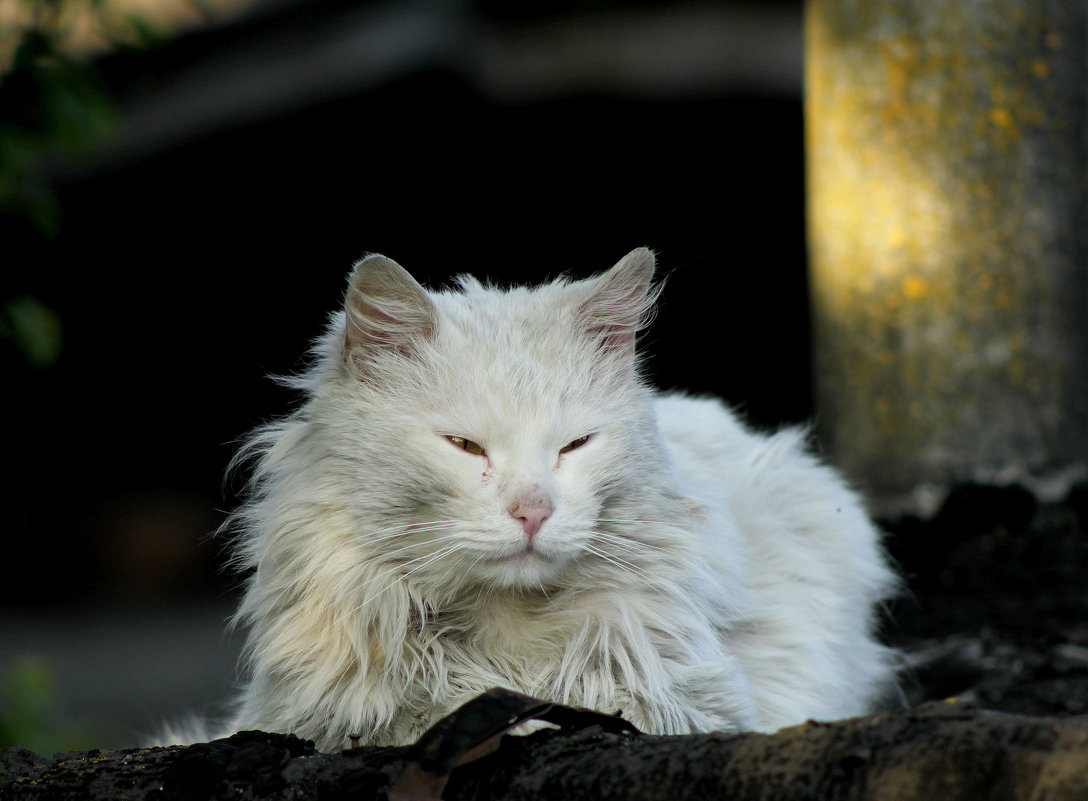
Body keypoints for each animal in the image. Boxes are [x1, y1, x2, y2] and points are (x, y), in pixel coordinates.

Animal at [225, 250, 896, 748]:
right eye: (464, 446)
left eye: (575, 445)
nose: (534, 511)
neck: (505, 642)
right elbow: (409, 718)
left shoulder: (697, 704)